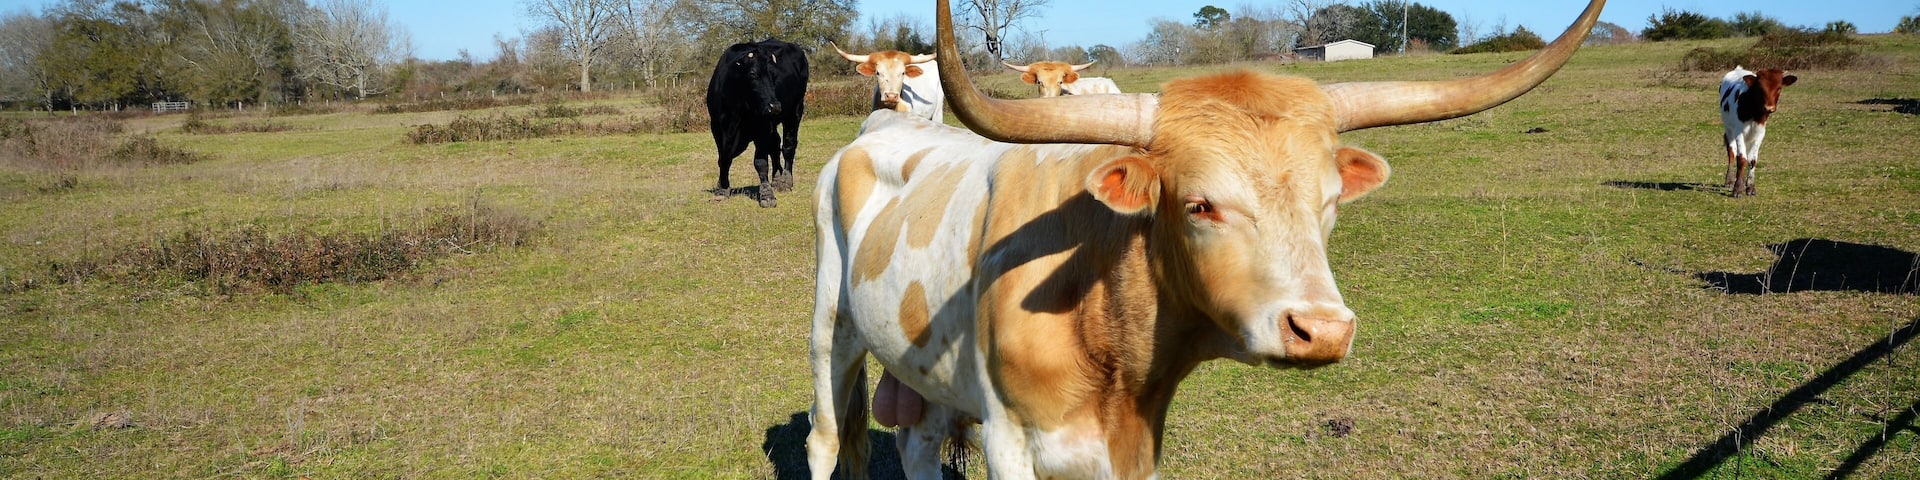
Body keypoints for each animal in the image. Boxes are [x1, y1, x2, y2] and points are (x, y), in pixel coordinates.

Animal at [706, 39, 809, 208]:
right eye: (752, 74)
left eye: (774, 75)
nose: (775, 106)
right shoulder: (717, 127)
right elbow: (723, 158)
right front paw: (722, 188)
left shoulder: (761, 127)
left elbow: (760, 162)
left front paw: (767, 194)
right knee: (775, 144)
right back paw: (777, 178)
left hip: (796, 110)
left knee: (788, 145)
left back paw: (785, 180)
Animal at [803, 0, 1605, 477]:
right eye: (1199, 204)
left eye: (1330, 202)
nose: (1321, 329)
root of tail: (878, 124)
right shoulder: (1011, 442)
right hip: (830, 326)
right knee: (828, 438)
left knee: (914, 442)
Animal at [1719, 65, 1796, 197]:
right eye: (1760, 88)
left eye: (1779, 88)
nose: (1769, 108)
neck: (1755, 112)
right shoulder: (1738, 131)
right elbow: (1742, 159)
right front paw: (1737, 188)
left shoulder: (1760, 133)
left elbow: (1752, 160)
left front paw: (1750, 187)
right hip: (1729, 128)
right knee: (1731, 151)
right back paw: (1729, 181)